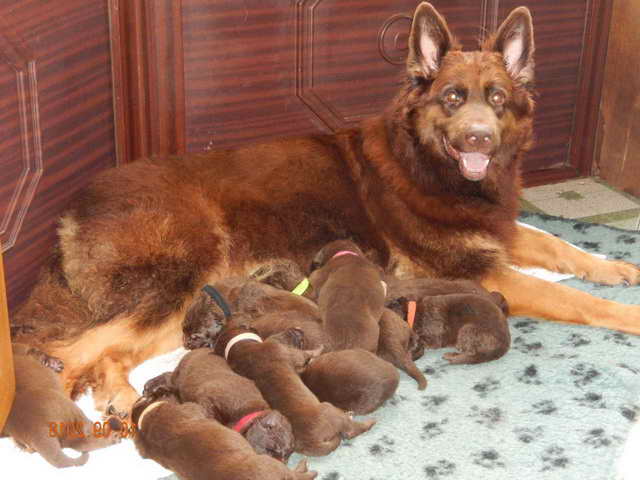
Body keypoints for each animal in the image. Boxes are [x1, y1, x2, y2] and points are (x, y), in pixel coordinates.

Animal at [11, 1, 640, 416]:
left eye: (499, 100)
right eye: (453, 98)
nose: (480, 139)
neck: (428, 166)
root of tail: (73, 209)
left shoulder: (499, 230)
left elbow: (560, 247)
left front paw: (617, 267)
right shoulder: (479, 269)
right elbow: (575, 298)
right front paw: (627, 313)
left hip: (189, 304)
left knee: (103, 354)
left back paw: (120, 397)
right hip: (179, 280)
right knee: (69, 351)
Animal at [147, 346, 296, 464]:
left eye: (287, 455)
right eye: (273, 450)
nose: (283, 463)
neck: (246, 414)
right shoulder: (210, 400)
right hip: (179, 375)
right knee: (168, 377)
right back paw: (150, 388)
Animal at [215, 326, 376, 458]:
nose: (298, 328)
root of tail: (312, 444)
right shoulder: (293, 353)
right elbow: (308, 352)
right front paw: (320, 347)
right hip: (329, 409)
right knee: (352, 431)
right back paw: (368, 421)